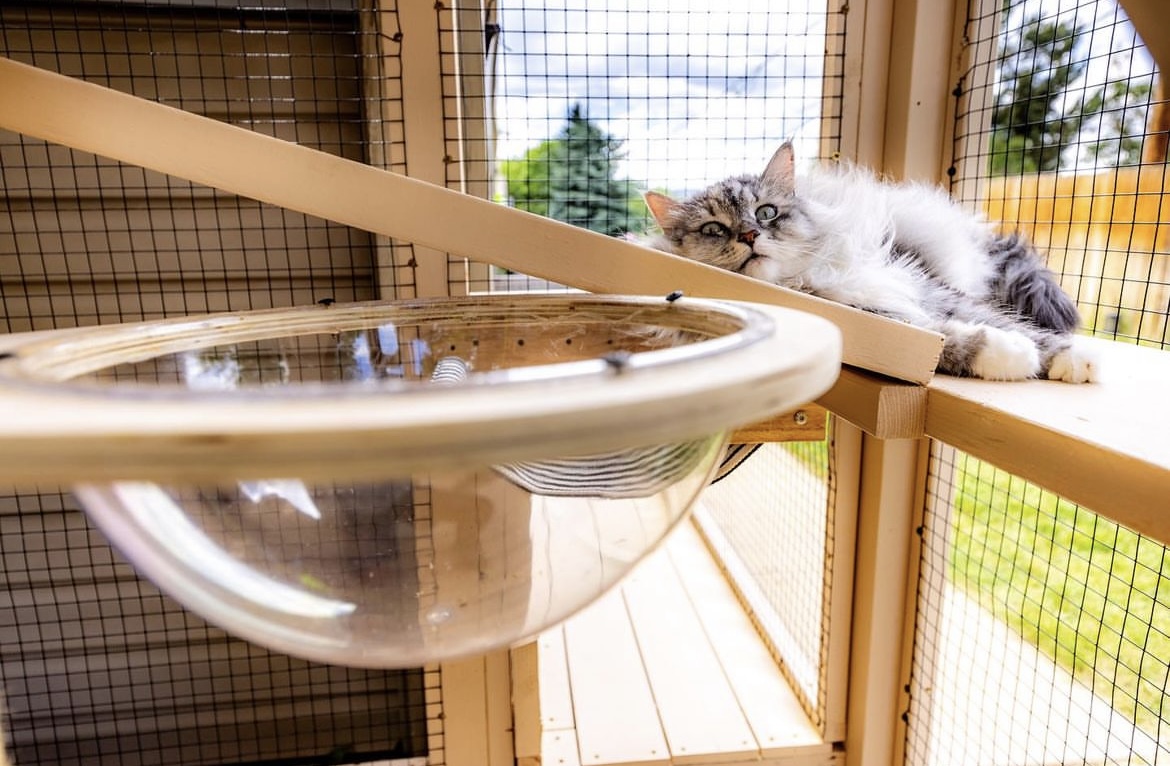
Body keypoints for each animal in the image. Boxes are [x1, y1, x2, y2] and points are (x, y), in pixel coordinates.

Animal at [641, 142, 1095, 381]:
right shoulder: (878, 316)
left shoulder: (923, 288)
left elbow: (1001, 321)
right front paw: (1013, 355)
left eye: (766, 212)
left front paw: (1073, 359)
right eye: (714, 229)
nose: (750, 236)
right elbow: (945, 338)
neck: (807, 280)